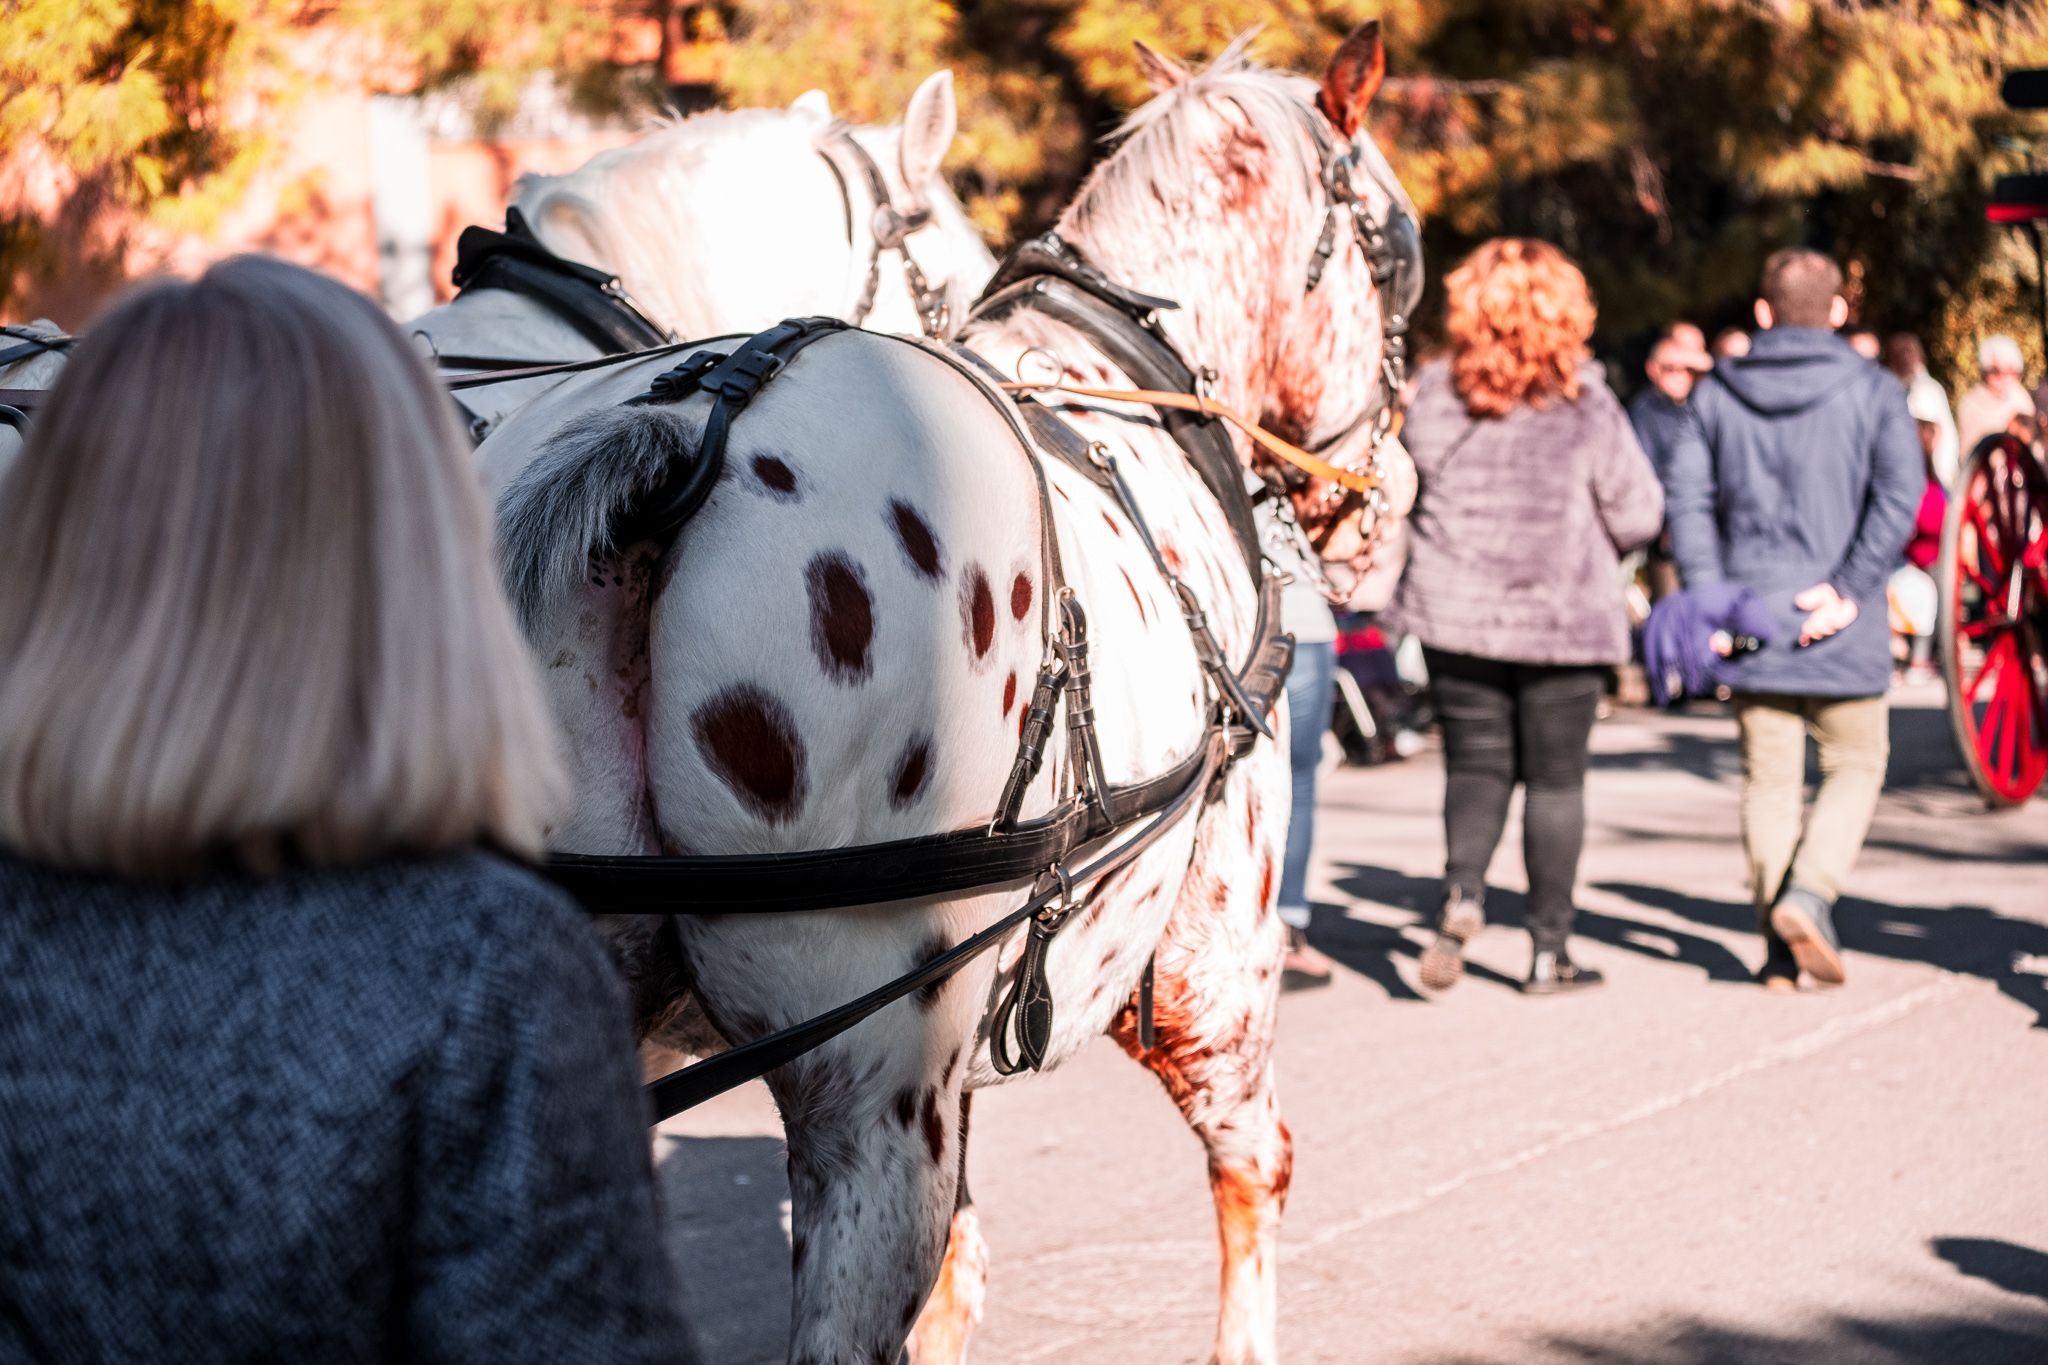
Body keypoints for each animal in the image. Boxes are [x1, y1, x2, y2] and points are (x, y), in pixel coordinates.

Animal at [483, 26, 1409, 1365]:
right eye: (1401, 253)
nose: (1382, 507)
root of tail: (680, 438)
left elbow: (962, 1288)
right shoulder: (1213, 967)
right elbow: (1252, 1174)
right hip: (874, 1082)